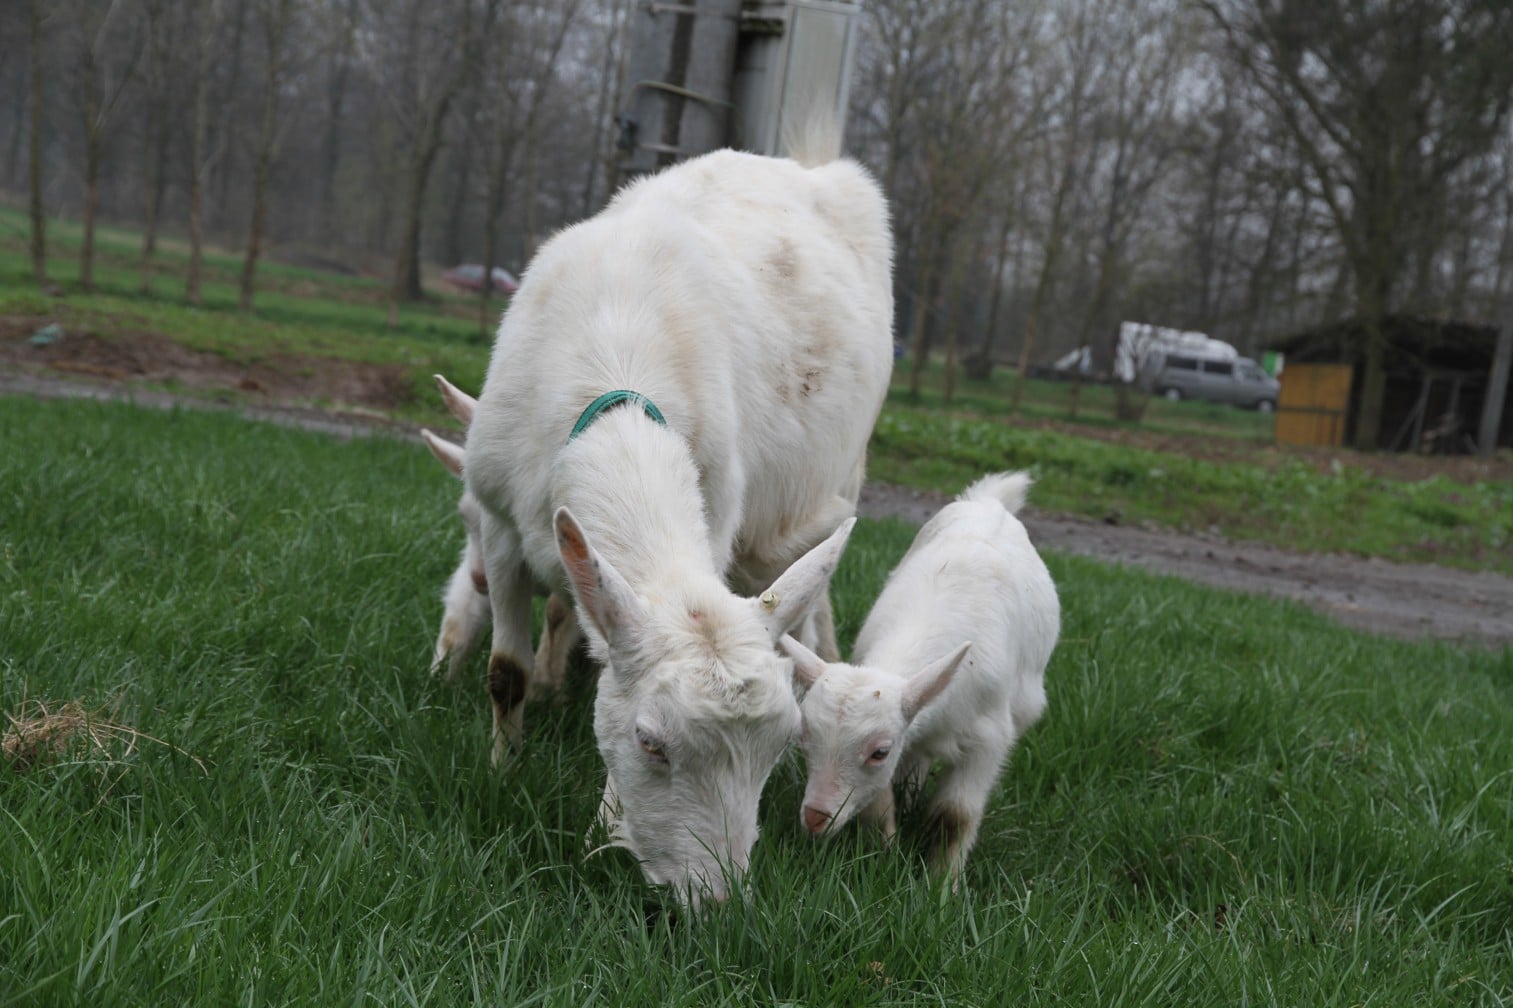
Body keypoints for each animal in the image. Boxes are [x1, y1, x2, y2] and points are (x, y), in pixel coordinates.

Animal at [466, 133, 895, 902]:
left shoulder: (717, 510)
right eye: (650, 741)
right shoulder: (498, 520)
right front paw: (504, 767)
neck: (616, 353)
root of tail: (799, 160)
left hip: (844, 471)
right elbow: (504, 671)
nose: (715, 900)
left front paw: (604, 833)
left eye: (779, 746)